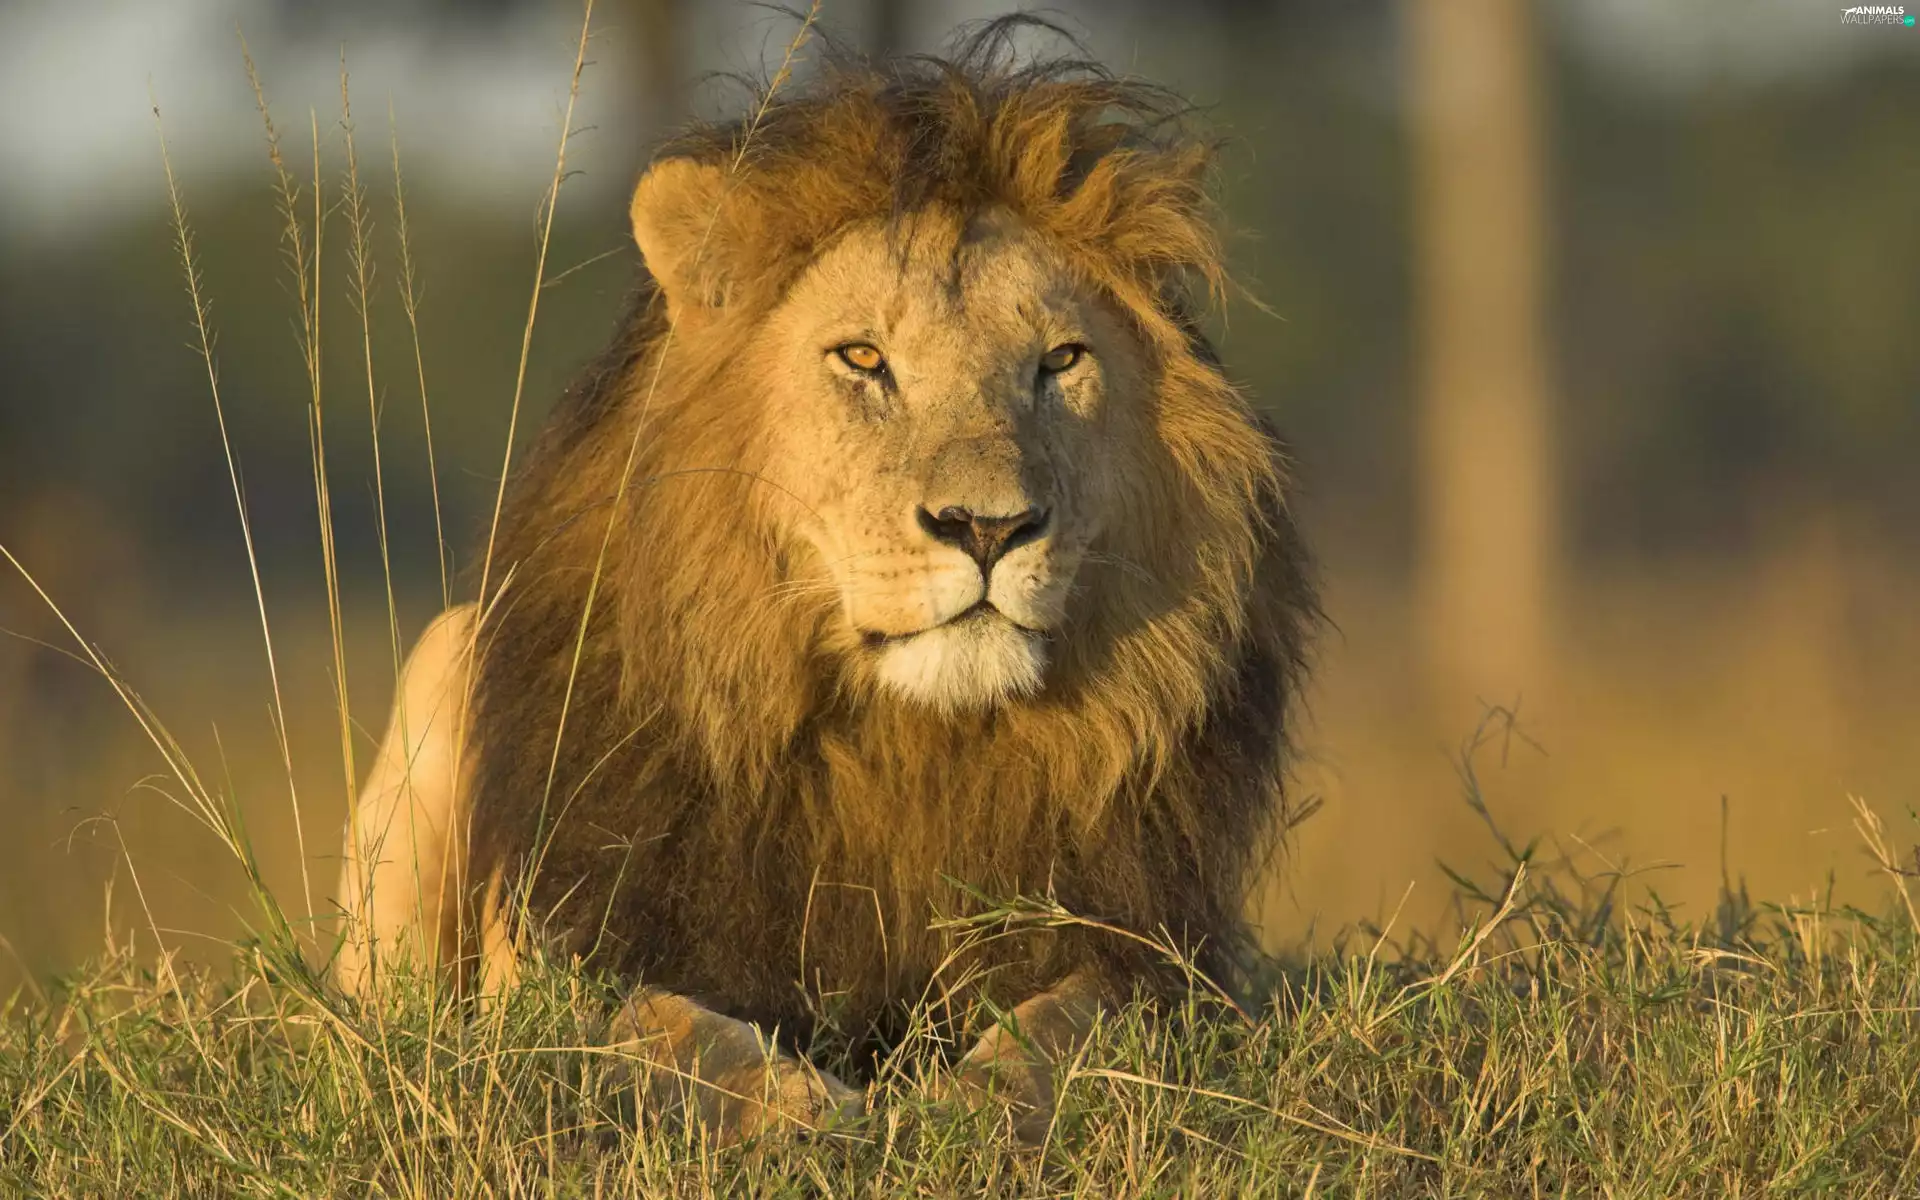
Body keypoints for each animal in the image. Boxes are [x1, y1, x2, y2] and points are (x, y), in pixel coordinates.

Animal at [335, 22, 1316, 1144]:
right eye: (863, 359)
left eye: (1061, 361)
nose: (989, 526)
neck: (909, 746)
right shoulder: (574, 948)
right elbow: (666, 1030)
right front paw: (801, 1112)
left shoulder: (1156, 952)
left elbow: (1072, 1023)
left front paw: (972, 1106)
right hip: (443, 664)